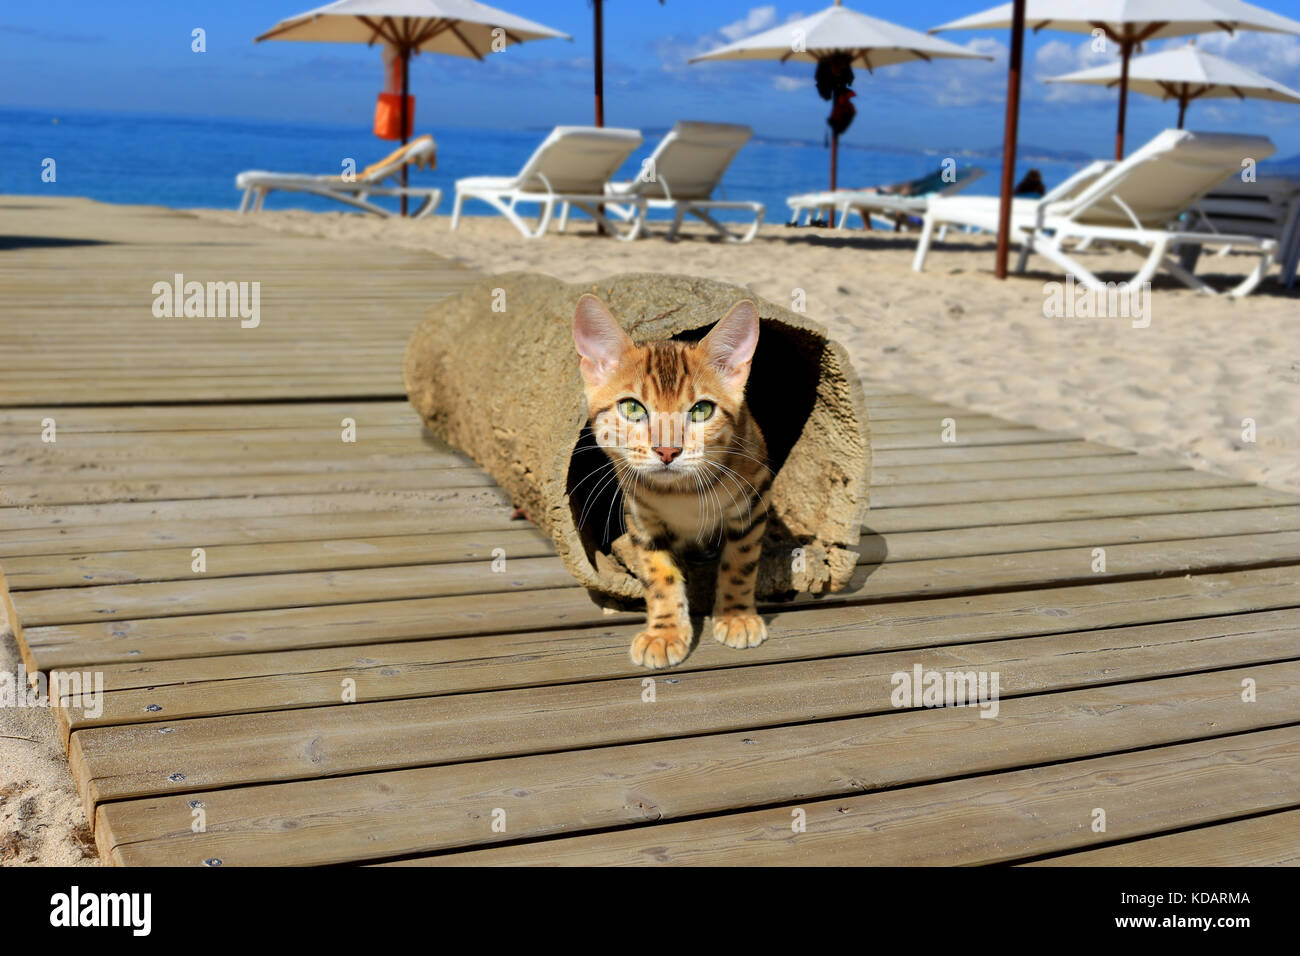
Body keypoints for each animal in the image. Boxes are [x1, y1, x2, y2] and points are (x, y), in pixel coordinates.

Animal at [572, 295, 769, 671]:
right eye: (633, 408)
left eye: (701, 410)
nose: (667, 450)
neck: (681, 492)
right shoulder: (641, 519)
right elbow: (658, 576)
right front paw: (664, 633)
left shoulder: (755, 499)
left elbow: (741, 561)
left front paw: (736, 616)